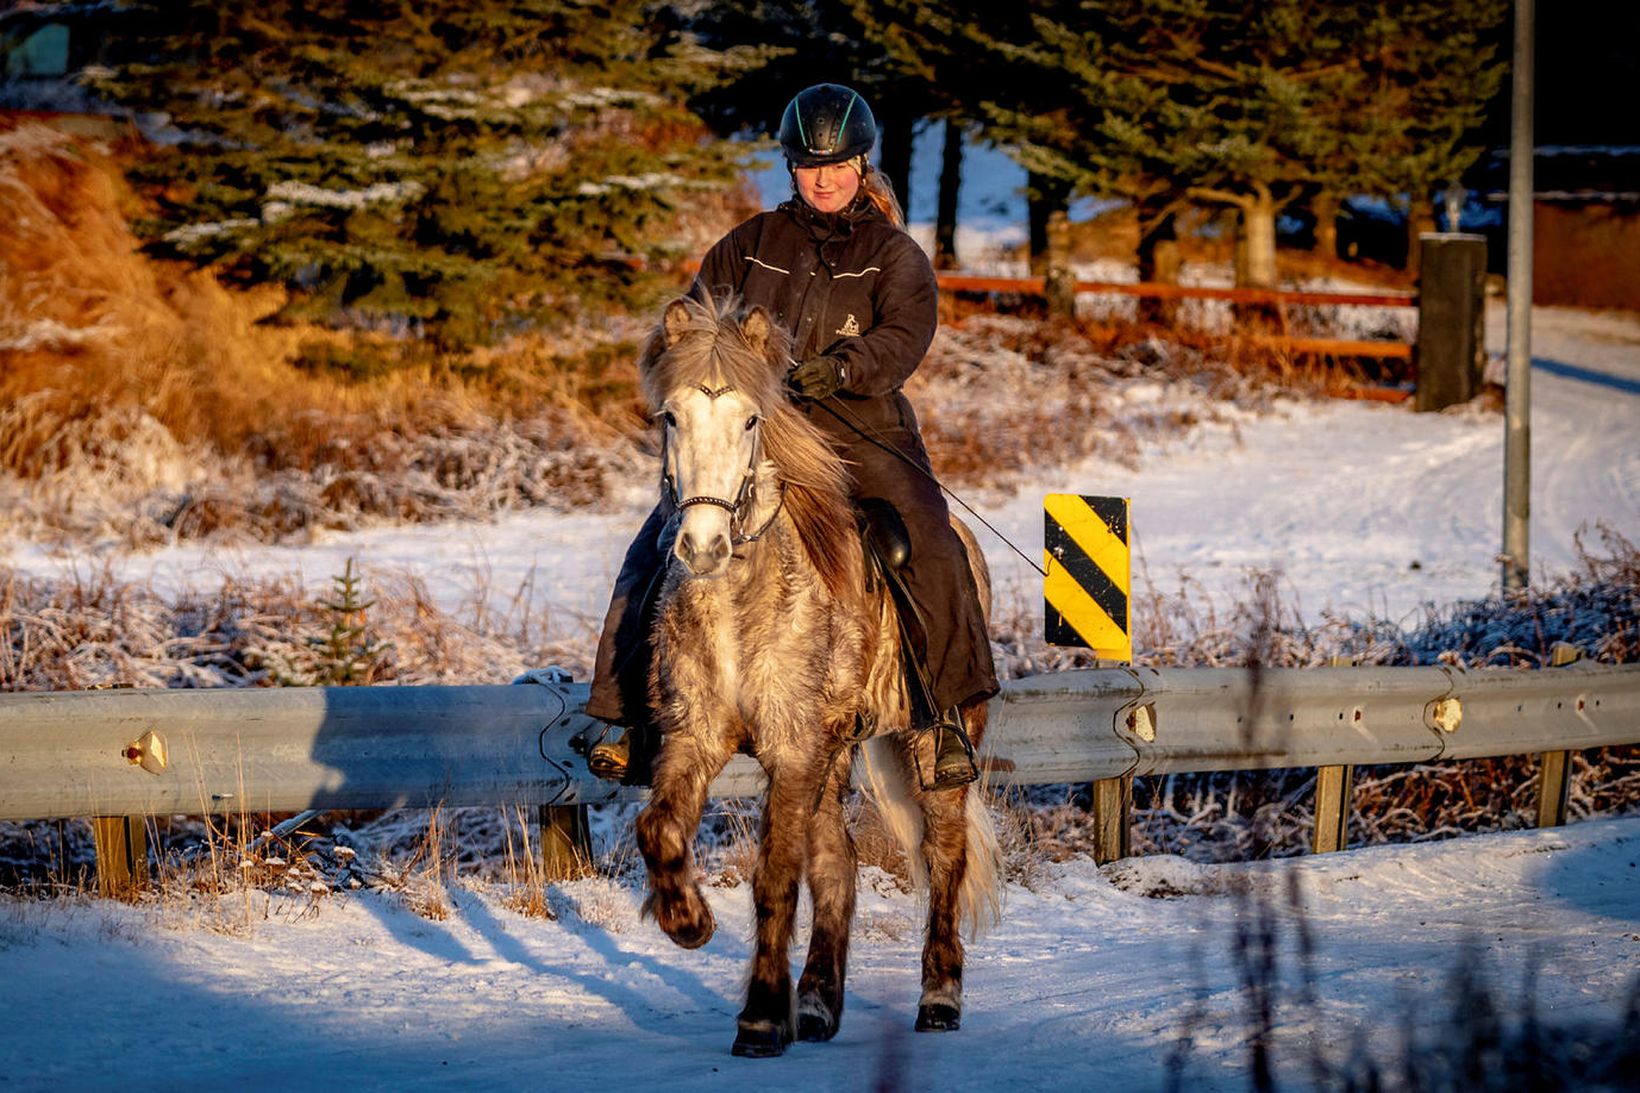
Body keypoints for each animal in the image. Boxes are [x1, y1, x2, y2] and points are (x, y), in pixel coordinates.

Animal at [626, 288, 997, 1056]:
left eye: (750, 419)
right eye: (671, 416)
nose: (702, 546)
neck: (741, 598)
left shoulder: (792, 750)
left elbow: (773, 879)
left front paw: (763, 1017)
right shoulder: (697, 740)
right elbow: (660, 830)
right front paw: (689, 921)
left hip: (928, 747)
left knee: (945, 855)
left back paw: (939, 997)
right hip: (833, 754)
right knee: (838, 862)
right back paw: (821, 1003)